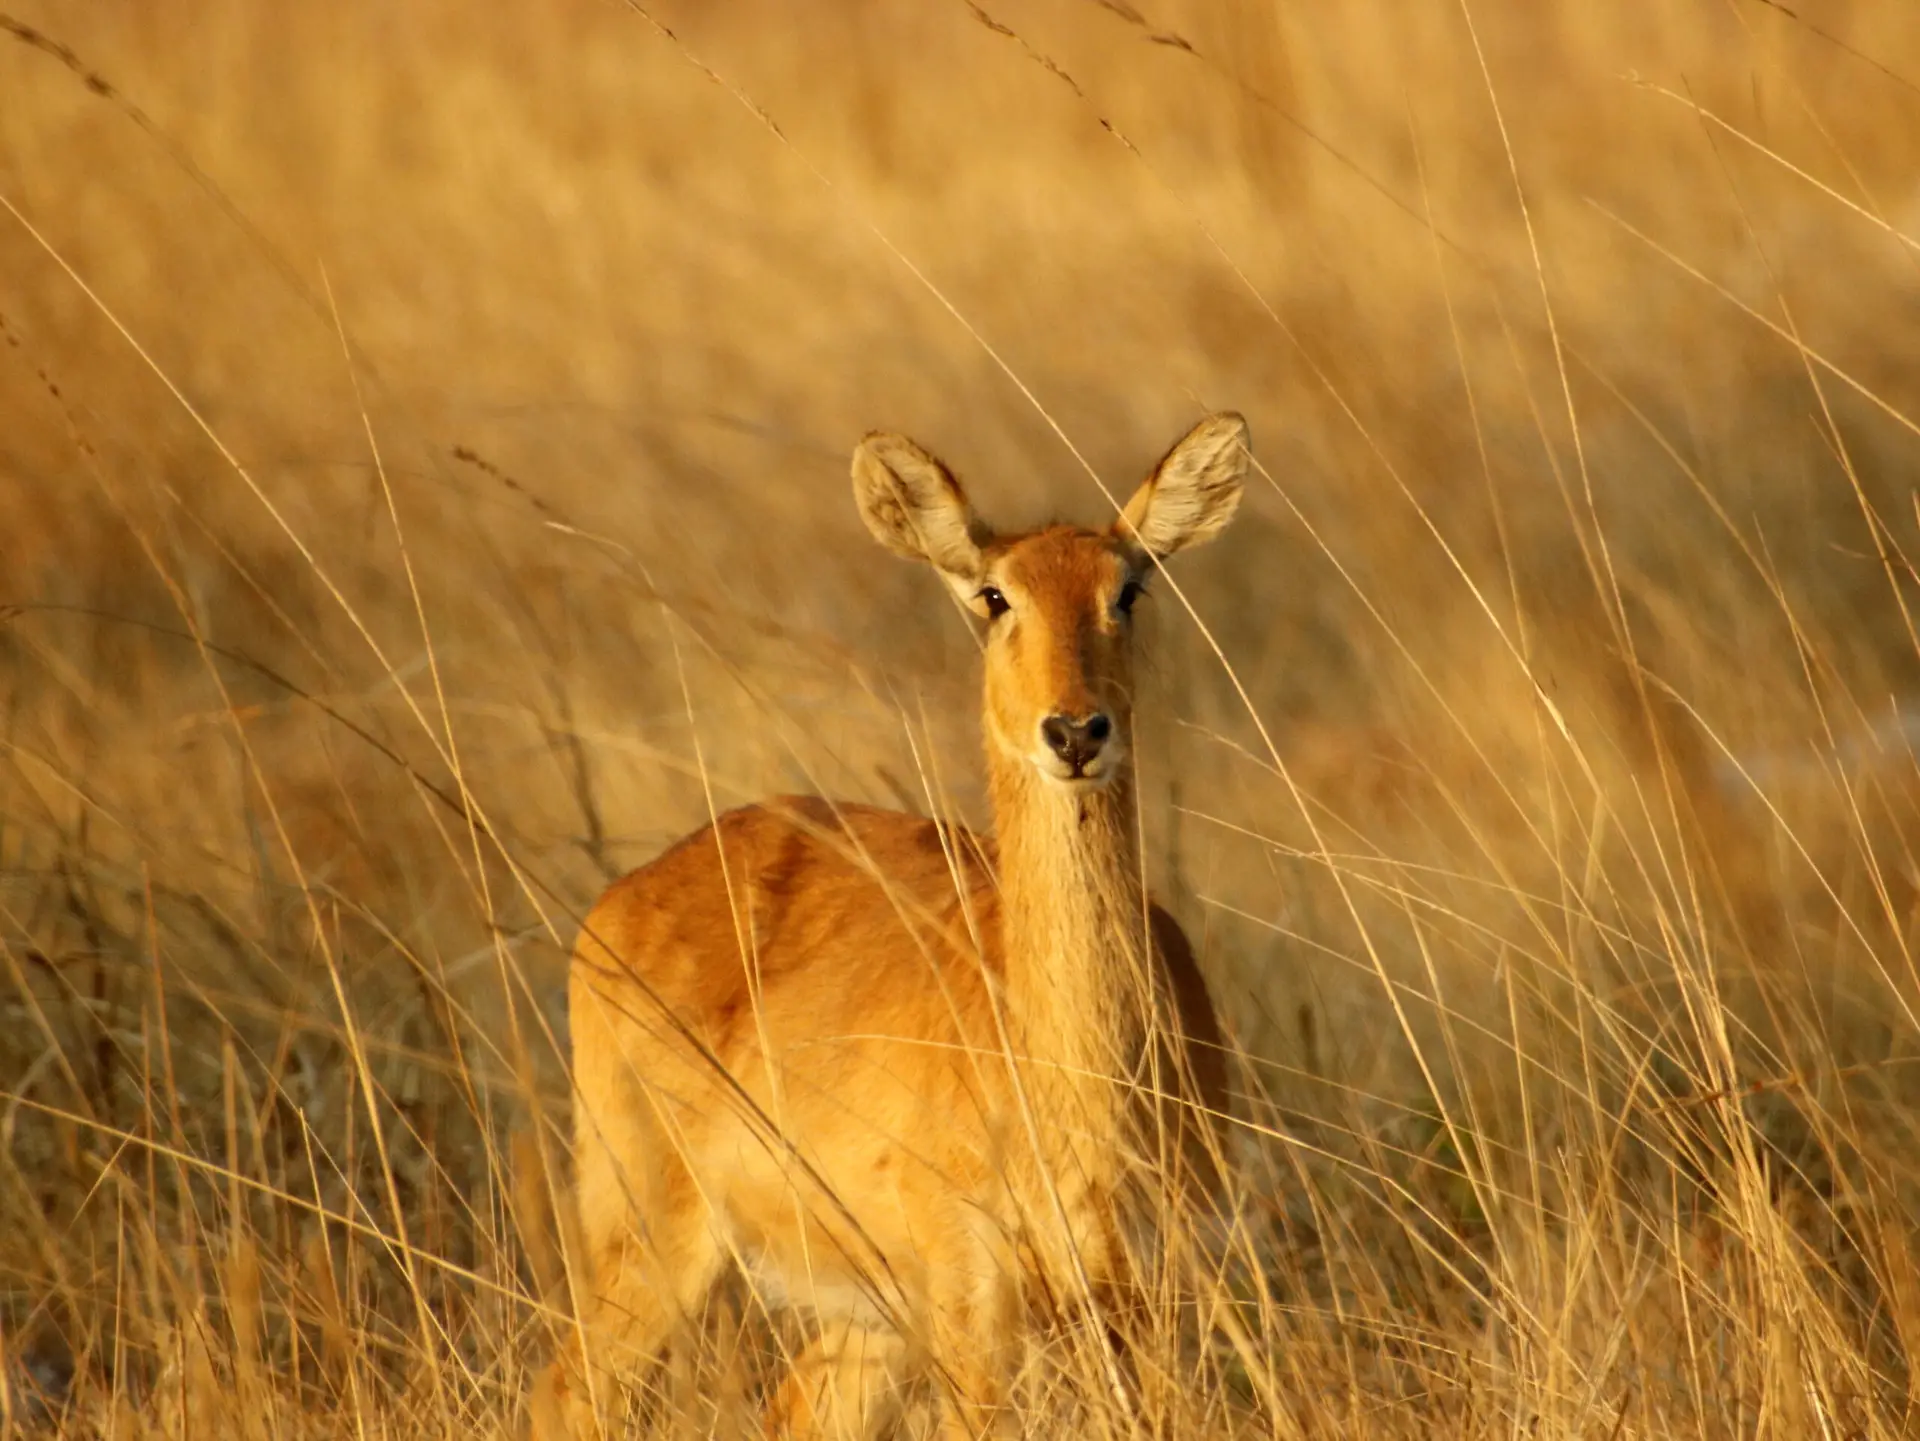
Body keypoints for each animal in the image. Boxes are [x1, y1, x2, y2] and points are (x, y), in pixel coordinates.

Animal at [533, 414, 1247, 1440]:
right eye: (995, 593)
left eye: (1130, 587)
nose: (1075, 731)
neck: (1078, 1086)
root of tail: (622, 895)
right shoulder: (970, 1299)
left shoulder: (1147, 1297)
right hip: (651, 1232)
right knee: (566, 1392)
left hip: (863, 1315)